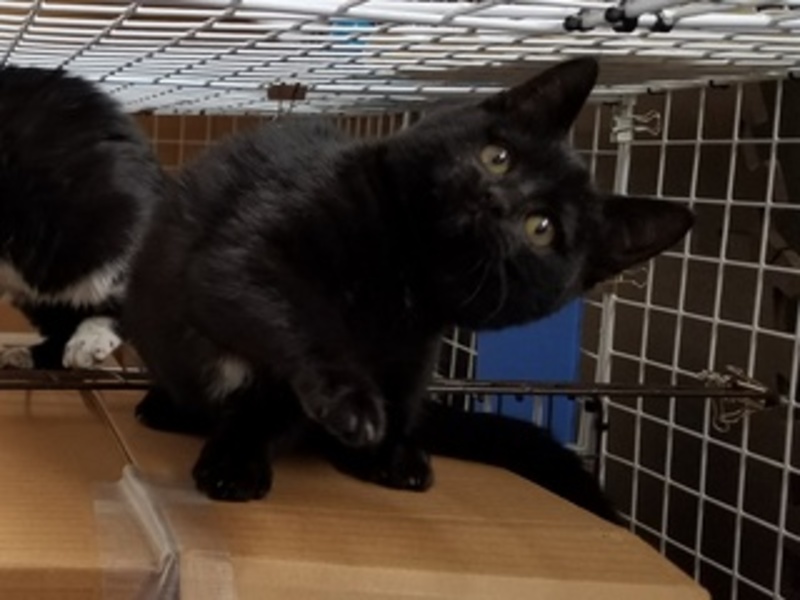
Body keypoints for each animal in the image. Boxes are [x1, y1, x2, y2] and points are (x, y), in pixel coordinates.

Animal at [124, 57, 693, 513]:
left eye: (542, 227)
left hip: (414, 361)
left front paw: (247, 454)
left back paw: (393, 455)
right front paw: (346, 405)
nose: (493, 199)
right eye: (498, 157)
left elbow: (273, 406)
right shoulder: (244, 255)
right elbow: (289, 313)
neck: (404, 268)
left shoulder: (413, 336)